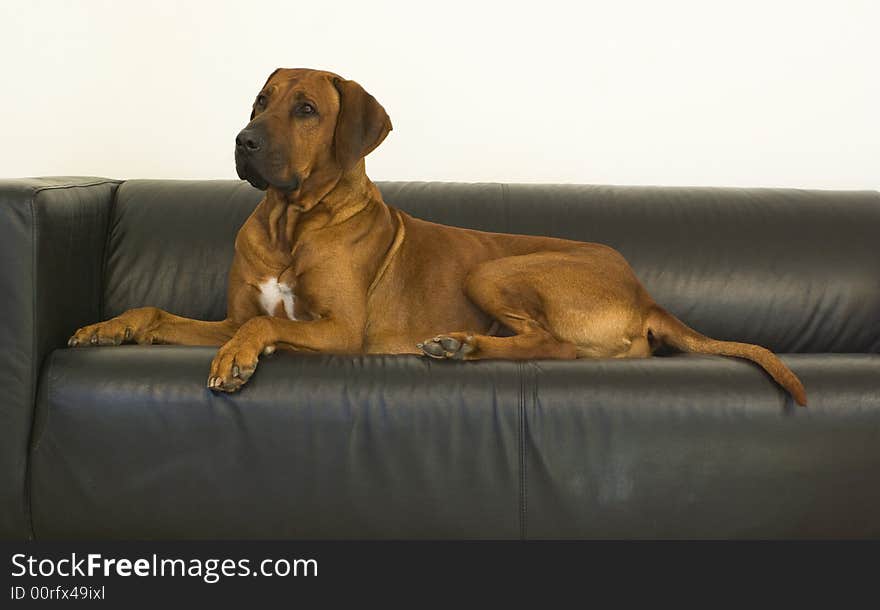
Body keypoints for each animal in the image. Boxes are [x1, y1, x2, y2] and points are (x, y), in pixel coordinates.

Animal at [70, 67, 804, 404]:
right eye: (259, 101)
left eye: (305, 109)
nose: (243, 142)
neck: (291, 221)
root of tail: (646, 293)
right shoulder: (227, 314)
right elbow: (166, 312)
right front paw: (110, 327)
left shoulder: (342, 330)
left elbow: (262, 326)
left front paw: (239, 359)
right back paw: (460, 345)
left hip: (497, 269)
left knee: (555, 346)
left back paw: (463, 345)